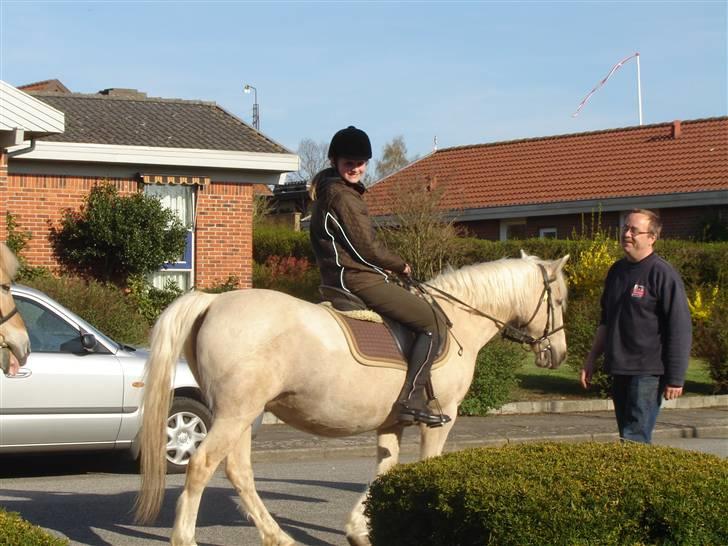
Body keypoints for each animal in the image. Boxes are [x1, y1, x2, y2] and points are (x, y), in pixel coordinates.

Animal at [135, 253, 568, 540]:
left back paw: (279, 537)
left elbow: (385, 470)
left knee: (239, 473)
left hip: (240, 415)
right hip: (234, 414)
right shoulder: (441, 416)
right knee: (201, 466)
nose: (559, 354)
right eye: (561, 299)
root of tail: (213, 300)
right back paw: (187, 538)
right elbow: (426, 467)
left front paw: (359, 530)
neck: (458, 320)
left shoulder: (393, 422)